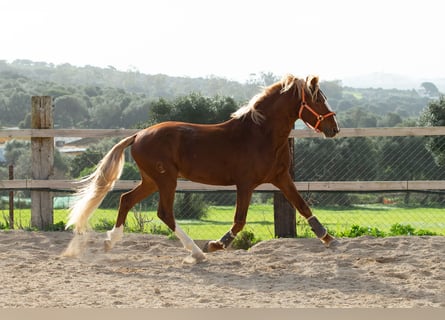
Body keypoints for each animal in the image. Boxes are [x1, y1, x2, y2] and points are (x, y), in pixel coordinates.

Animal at [66, 74, 338, 262]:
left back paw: (110, 242)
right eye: (317, 99)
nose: (333, 128)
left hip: (152, 180)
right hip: (166, 180)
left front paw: (329, 239)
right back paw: (198, 252)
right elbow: (239, 220)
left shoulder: (281, 178)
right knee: (164, 213)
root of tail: (138, 135)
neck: (261, 134)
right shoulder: (246, 183)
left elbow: (302, 206)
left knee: (126, 199)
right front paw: (216, 244)